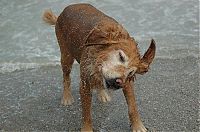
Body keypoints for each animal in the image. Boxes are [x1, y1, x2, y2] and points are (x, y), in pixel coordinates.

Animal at [43, 3, 155, 131]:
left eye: (131, 73)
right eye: (121, 57)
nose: (118, 82)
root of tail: (65, 10)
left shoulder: (127, 83)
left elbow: (132, 106)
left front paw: (138, 125)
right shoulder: (85, 84)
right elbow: (86, 114)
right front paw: (86, 129)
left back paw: (102, 94)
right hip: (66, 56)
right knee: (66, 77)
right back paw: (66, 97)